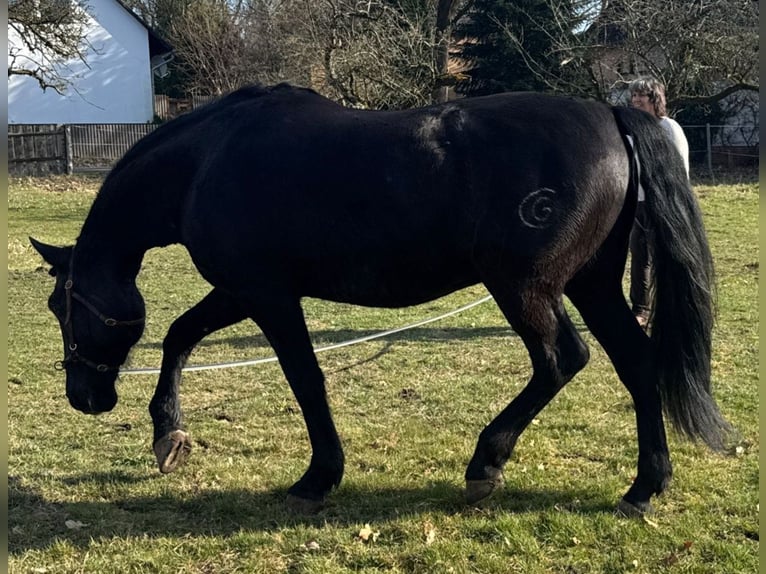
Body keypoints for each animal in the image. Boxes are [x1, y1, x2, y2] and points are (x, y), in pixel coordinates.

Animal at [31, 83, 729, 516]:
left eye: (61, 308)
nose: (83, 396)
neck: (205, 160)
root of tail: (610, 117)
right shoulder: (240, 290)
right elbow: (179, 333)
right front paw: (168, 435)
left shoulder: (266, 295)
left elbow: (304, 379)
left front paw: (319, 477)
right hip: (590, 284)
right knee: (637, 364)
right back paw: (645, 486)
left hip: (525, 288)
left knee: (562, 360)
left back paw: (486, 463)